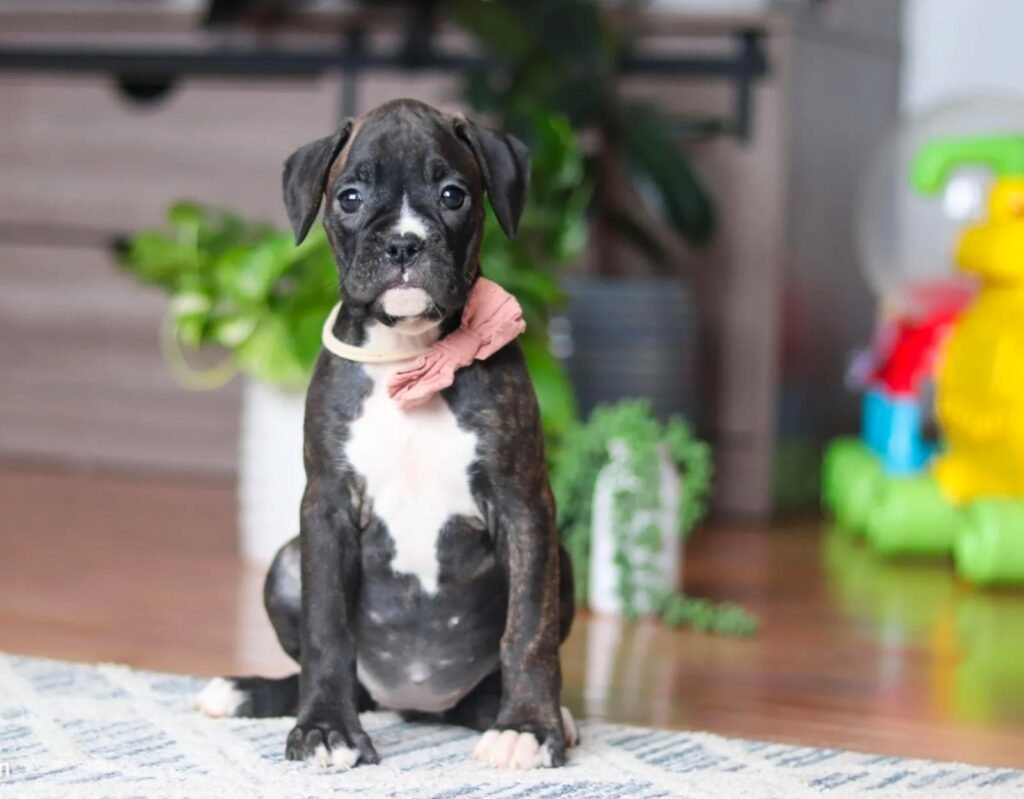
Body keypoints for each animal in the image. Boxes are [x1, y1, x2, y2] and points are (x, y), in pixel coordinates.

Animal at [196, 99, 576, 771]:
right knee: (347, 678)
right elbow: (327, 629)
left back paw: (524, 715)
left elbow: (528, 628)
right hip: (284, 562)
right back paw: (245, 691)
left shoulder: (525, 506)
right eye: (349, 196)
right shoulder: (325, 508)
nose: (404, 241)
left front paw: (530, 728)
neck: (412, 357)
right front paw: (325, 729)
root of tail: (416, 703)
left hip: (564, 561)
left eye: (452, 195)